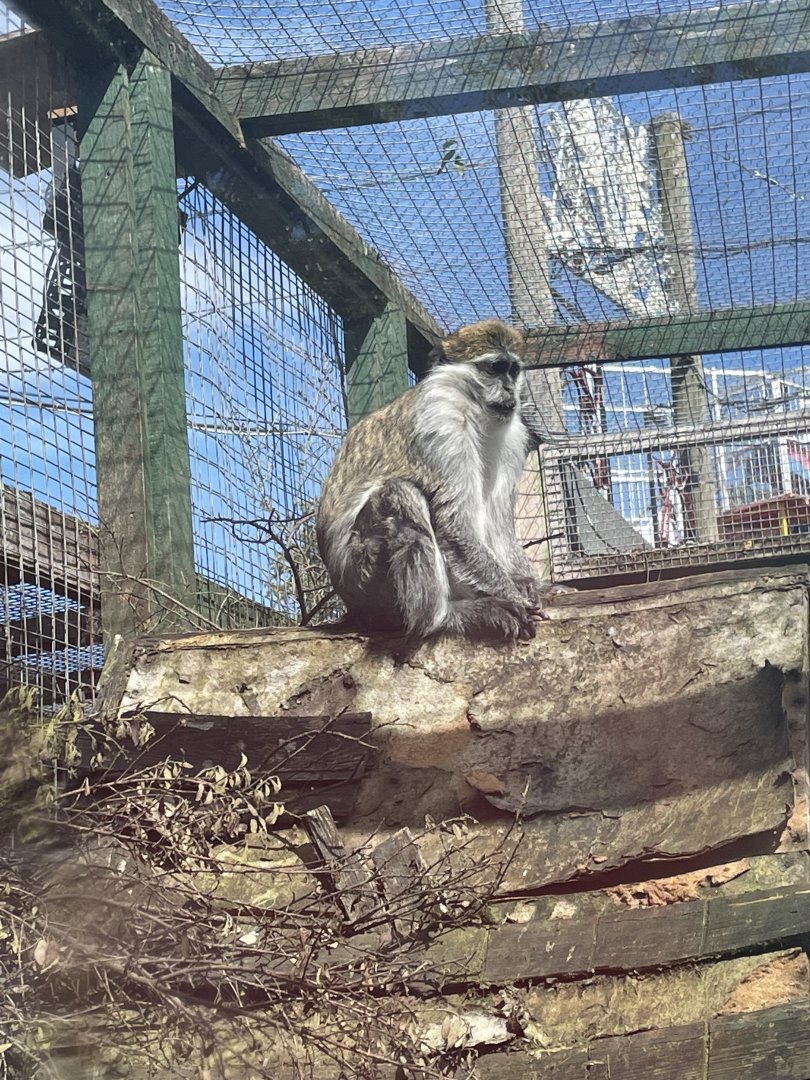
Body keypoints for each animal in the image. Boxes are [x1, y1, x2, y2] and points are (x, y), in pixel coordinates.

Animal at [316, 319, 567, 642]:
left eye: (513, 370)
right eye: (494, 368)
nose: (510, 390)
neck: (475, 412)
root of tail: (353, 608)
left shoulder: (512, 436)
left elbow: (498, 522)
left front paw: (531, 585)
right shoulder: (443, 421)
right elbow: (454, 524)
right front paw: (514, 596)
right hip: (366, 579)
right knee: (402, 494)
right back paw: (441, 617)